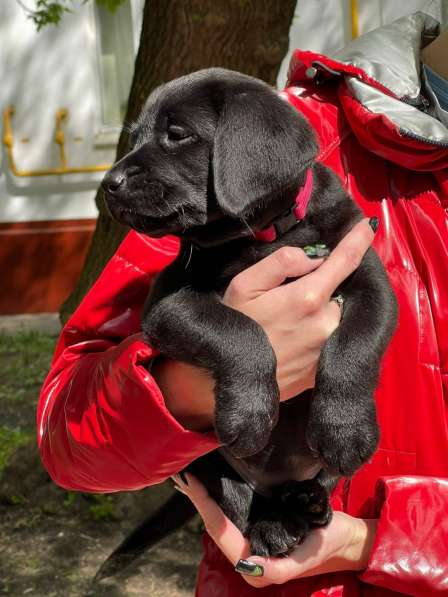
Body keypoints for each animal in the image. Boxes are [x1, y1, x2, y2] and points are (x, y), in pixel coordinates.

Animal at [100, 68, 398, 564]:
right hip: (208, 464)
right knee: (241, 505)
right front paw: (249, 414)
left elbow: (353, 346)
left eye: (176, 134)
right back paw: (275, 526)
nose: (109, 182)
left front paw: (345, 430)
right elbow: (240, 331)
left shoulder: (371, 282)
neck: (265, 236)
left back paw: (307, 503)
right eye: (136, 135)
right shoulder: (167, 304)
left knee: (312, 486)